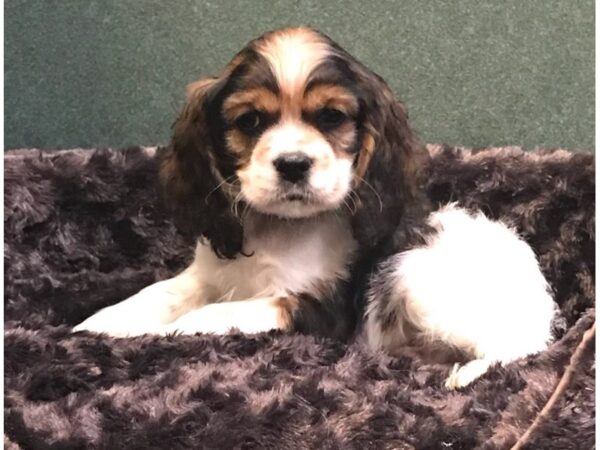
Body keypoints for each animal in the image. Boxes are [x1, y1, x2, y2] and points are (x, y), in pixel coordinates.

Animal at [76, 27, 556, 386]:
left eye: (330, 118)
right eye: (250, 120)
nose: (293, 164)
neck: (281, 228)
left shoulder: (314, 308)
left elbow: (214, 314)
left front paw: (161, 333)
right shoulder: (208, 274)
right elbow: (160, 293)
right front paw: (102, 323)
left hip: (410, 274)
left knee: (512, 348)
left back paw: (464, 373)